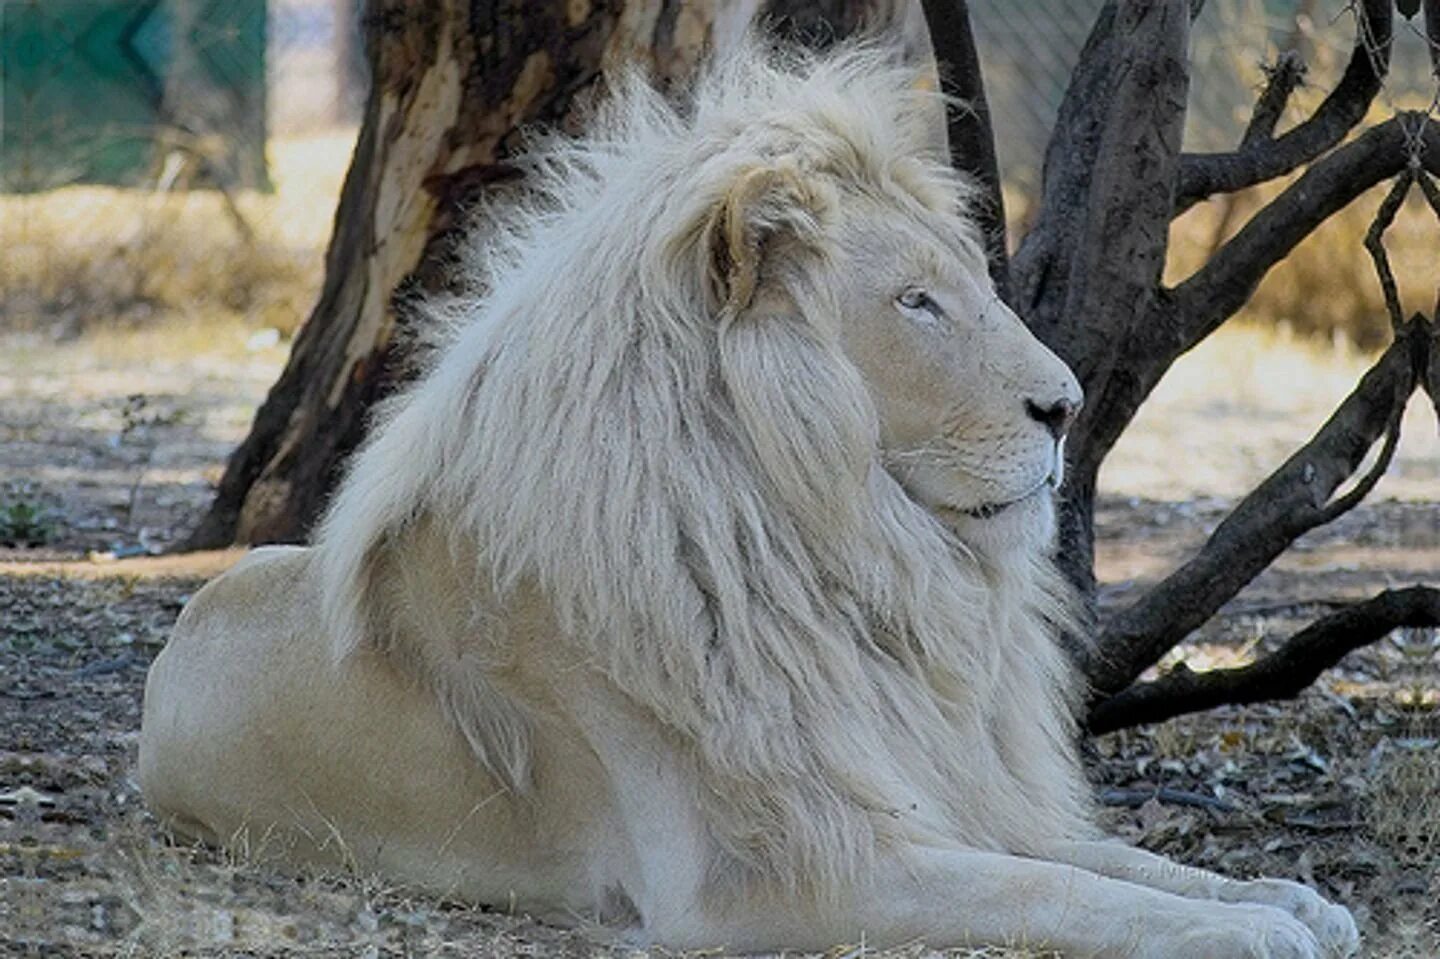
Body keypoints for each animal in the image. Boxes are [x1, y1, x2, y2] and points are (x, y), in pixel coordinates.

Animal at [140, 41, 1365, 950]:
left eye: (971, 286)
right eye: (917, 302)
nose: (1065, 407)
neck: (840, 562)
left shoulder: (926, 787)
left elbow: (1110, 857)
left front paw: (1288, 898)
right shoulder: (765, 871)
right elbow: (1054, 892)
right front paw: (1252, 931)